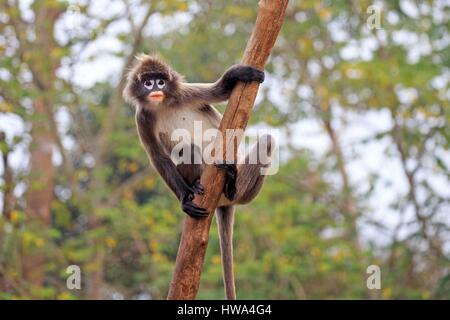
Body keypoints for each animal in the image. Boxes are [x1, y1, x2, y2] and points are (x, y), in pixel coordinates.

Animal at [123, 53, 276, 298]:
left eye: (161, 82)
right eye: (148, 83)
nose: (155, 88)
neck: (163, 103)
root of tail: (223, 201)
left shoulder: (184, 93)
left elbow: (220, 91)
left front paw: (240, 73)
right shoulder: (143, 117)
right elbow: (158, 157)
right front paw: (184, 200)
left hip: (242, 183)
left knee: (268, 140)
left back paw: (231, 184)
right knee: (187, 148)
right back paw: (196, 186)